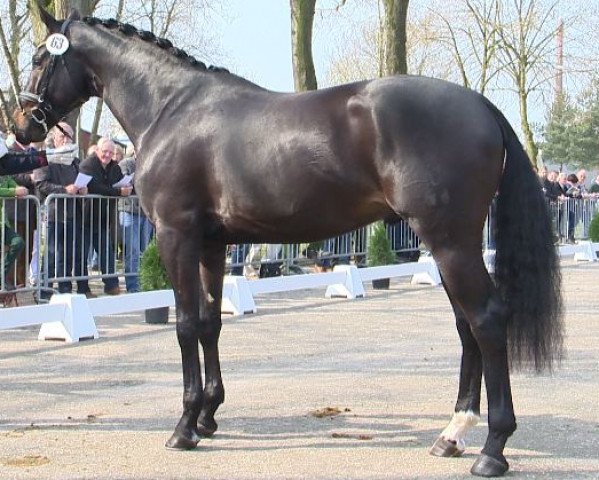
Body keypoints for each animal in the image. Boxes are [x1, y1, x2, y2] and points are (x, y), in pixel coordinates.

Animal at [14, 7, 564, 476]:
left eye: (41, 57)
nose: (21, 126)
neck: (172, 109)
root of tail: (480, 104)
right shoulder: (213, 245)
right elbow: (212, 323)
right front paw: (209, 416)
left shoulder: (176, 237)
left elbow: (186, 325)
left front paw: (184, 426)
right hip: (446, 244)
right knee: (466, 326)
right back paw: (452, 434)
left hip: (451, 242)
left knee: (486, 321)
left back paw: (492, 449)